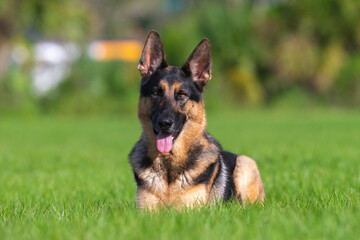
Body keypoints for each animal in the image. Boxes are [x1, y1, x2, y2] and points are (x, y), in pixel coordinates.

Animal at [129, 31, 264, 210]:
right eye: (156, 92)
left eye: (182, 95)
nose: (164, 123)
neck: (169, 163)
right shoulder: (146, 210)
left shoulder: (189, 210)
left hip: (245, 163)